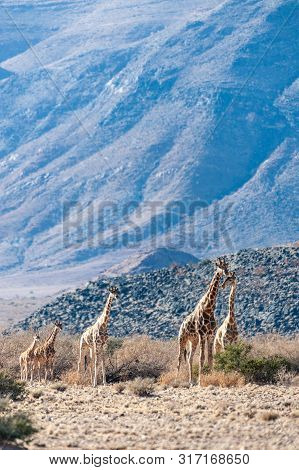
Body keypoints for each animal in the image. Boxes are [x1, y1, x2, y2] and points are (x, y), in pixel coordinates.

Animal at [178, 258, 230, 386]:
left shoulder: (210, 335)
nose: (226, 273)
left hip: (193, 340)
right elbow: (202, 357)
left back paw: (191, 381)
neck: (209, 308)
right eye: (220, 267)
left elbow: (210, 357)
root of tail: (181, 324)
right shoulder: (202, 334)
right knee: (180, 357)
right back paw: (177, 379)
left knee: (189, 357)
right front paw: (201, 381)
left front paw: (211, 377)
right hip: (182, 338)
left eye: (227, 267)